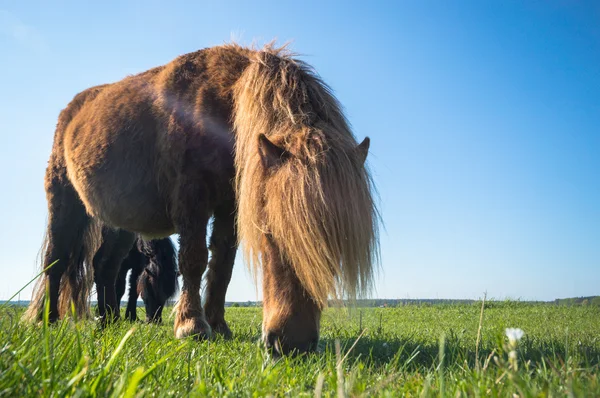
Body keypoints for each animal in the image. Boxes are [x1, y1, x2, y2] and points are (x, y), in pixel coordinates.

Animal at [25, 44, 380, 358]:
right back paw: (48, 320)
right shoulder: (191, 200)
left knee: (105, 266)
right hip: (64, 200)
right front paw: (191, 325)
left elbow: (222, 264)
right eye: (269, 234)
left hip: (121, 225)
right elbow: (194, 259)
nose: (292, 345)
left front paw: (218, 324)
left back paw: (108, 320)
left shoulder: (229, 208)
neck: (222, 106)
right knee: (56, 260)